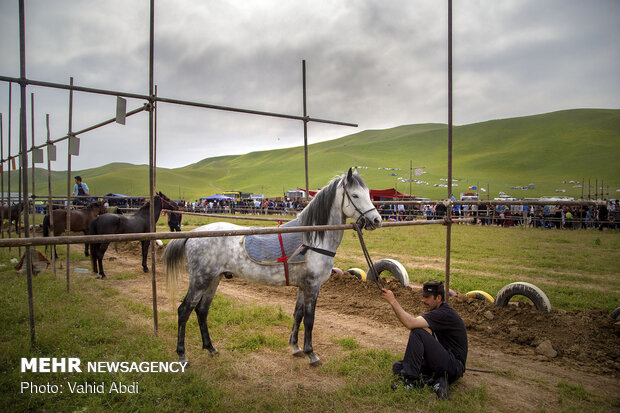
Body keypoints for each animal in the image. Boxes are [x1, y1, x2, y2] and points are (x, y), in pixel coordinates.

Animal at [162, 169, 380, 366]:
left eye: (369, 193)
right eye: (355, 195)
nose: (377, 220)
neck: (312, 238)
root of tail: (192, 235)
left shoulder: (303, 286)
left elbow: (298, 314)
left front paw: (295, 347)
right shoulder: (312, 286)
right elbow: (310, 319)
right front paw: (311, 354)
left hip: (214, 279)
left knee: (202, 311)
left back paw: (211, 348)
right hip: (200, 280)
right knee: (184, 311)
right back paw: (182, 355)